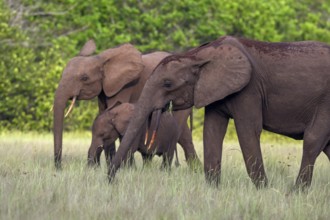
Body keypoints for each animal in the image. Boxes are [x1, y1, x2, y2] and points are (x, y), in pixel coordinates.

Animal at [52, 40, 200, 168]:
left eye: (84, 78)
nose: (59, 167)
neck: (100, 60)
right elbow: (104, 114)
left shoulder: (125, 86)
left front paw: (126, 168)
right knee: (184, 134)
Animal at [109, 35, 330, 189]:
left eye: (167, 83)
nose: (111, 181)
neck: (199, 54)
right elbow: (212, 131)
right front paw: (213, 189)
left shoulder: (248, 89)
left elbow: (248, 131)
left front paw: (264, 190)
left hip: (326, 102)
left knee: (312, 140)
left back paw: (295, 192)